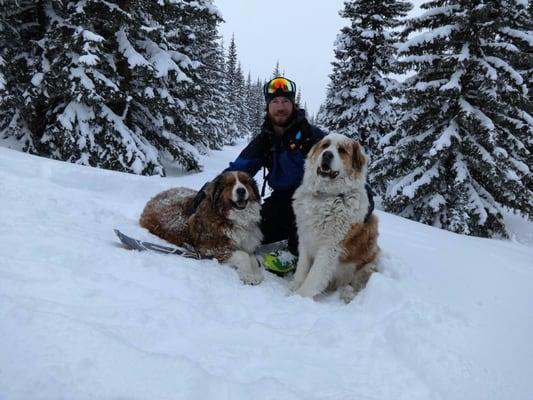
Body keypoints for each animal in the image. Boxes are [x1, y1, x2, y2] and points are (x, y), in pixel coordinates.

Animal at [290, 133, 378, 302]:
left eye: (342, 150)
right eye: (325, 145)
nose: (327, 155)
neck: (327, 197)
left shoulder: (330, 247)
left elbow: (313, 277)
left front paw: (298, 298)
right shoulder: (305, 238)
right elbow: (302, 270)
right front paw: (292, 289)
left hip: (369, 265)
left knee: (355, 284)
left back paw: (347, 293)